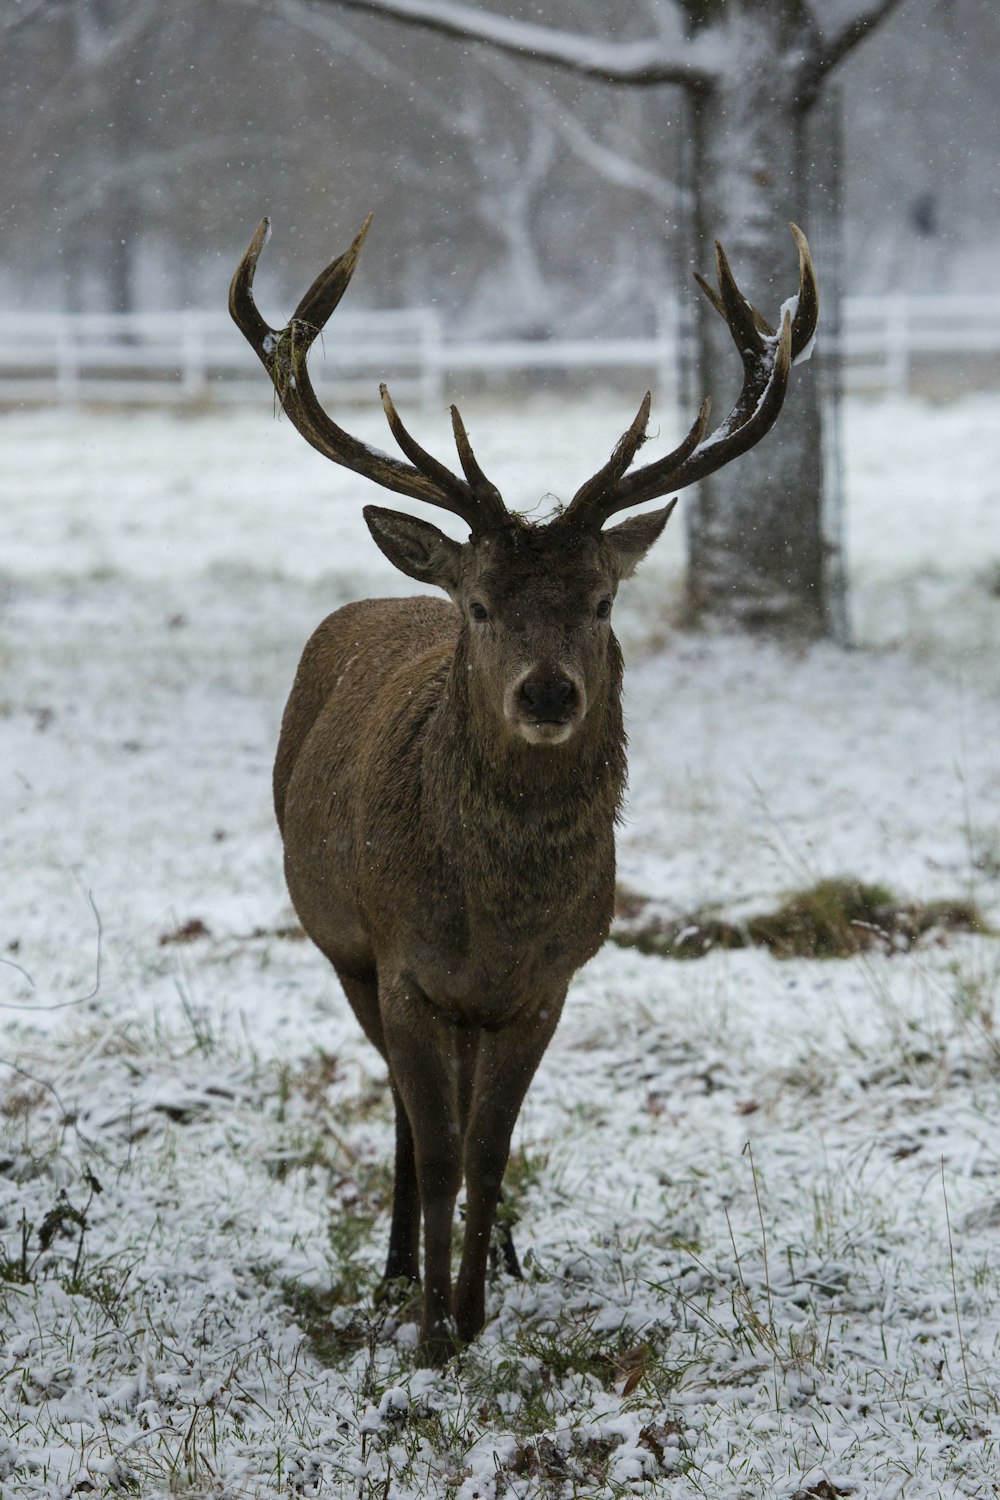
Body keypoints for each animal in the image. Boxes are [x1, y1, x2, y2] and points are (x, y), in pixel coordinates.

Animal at [229, 214, 821, 1362]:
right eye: (481, 604)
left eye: (600, 600)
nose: (548, 692)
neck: (492, 923)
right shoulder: (402, 963)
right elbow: (441, 1146)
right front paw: (430, 1332)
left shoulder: (551, 982)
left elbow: (493, 1150)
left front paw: (474, 1312)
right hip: (342, 948)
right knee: (408, 1113)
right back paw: (396, 1270)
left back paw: (496, 1257)